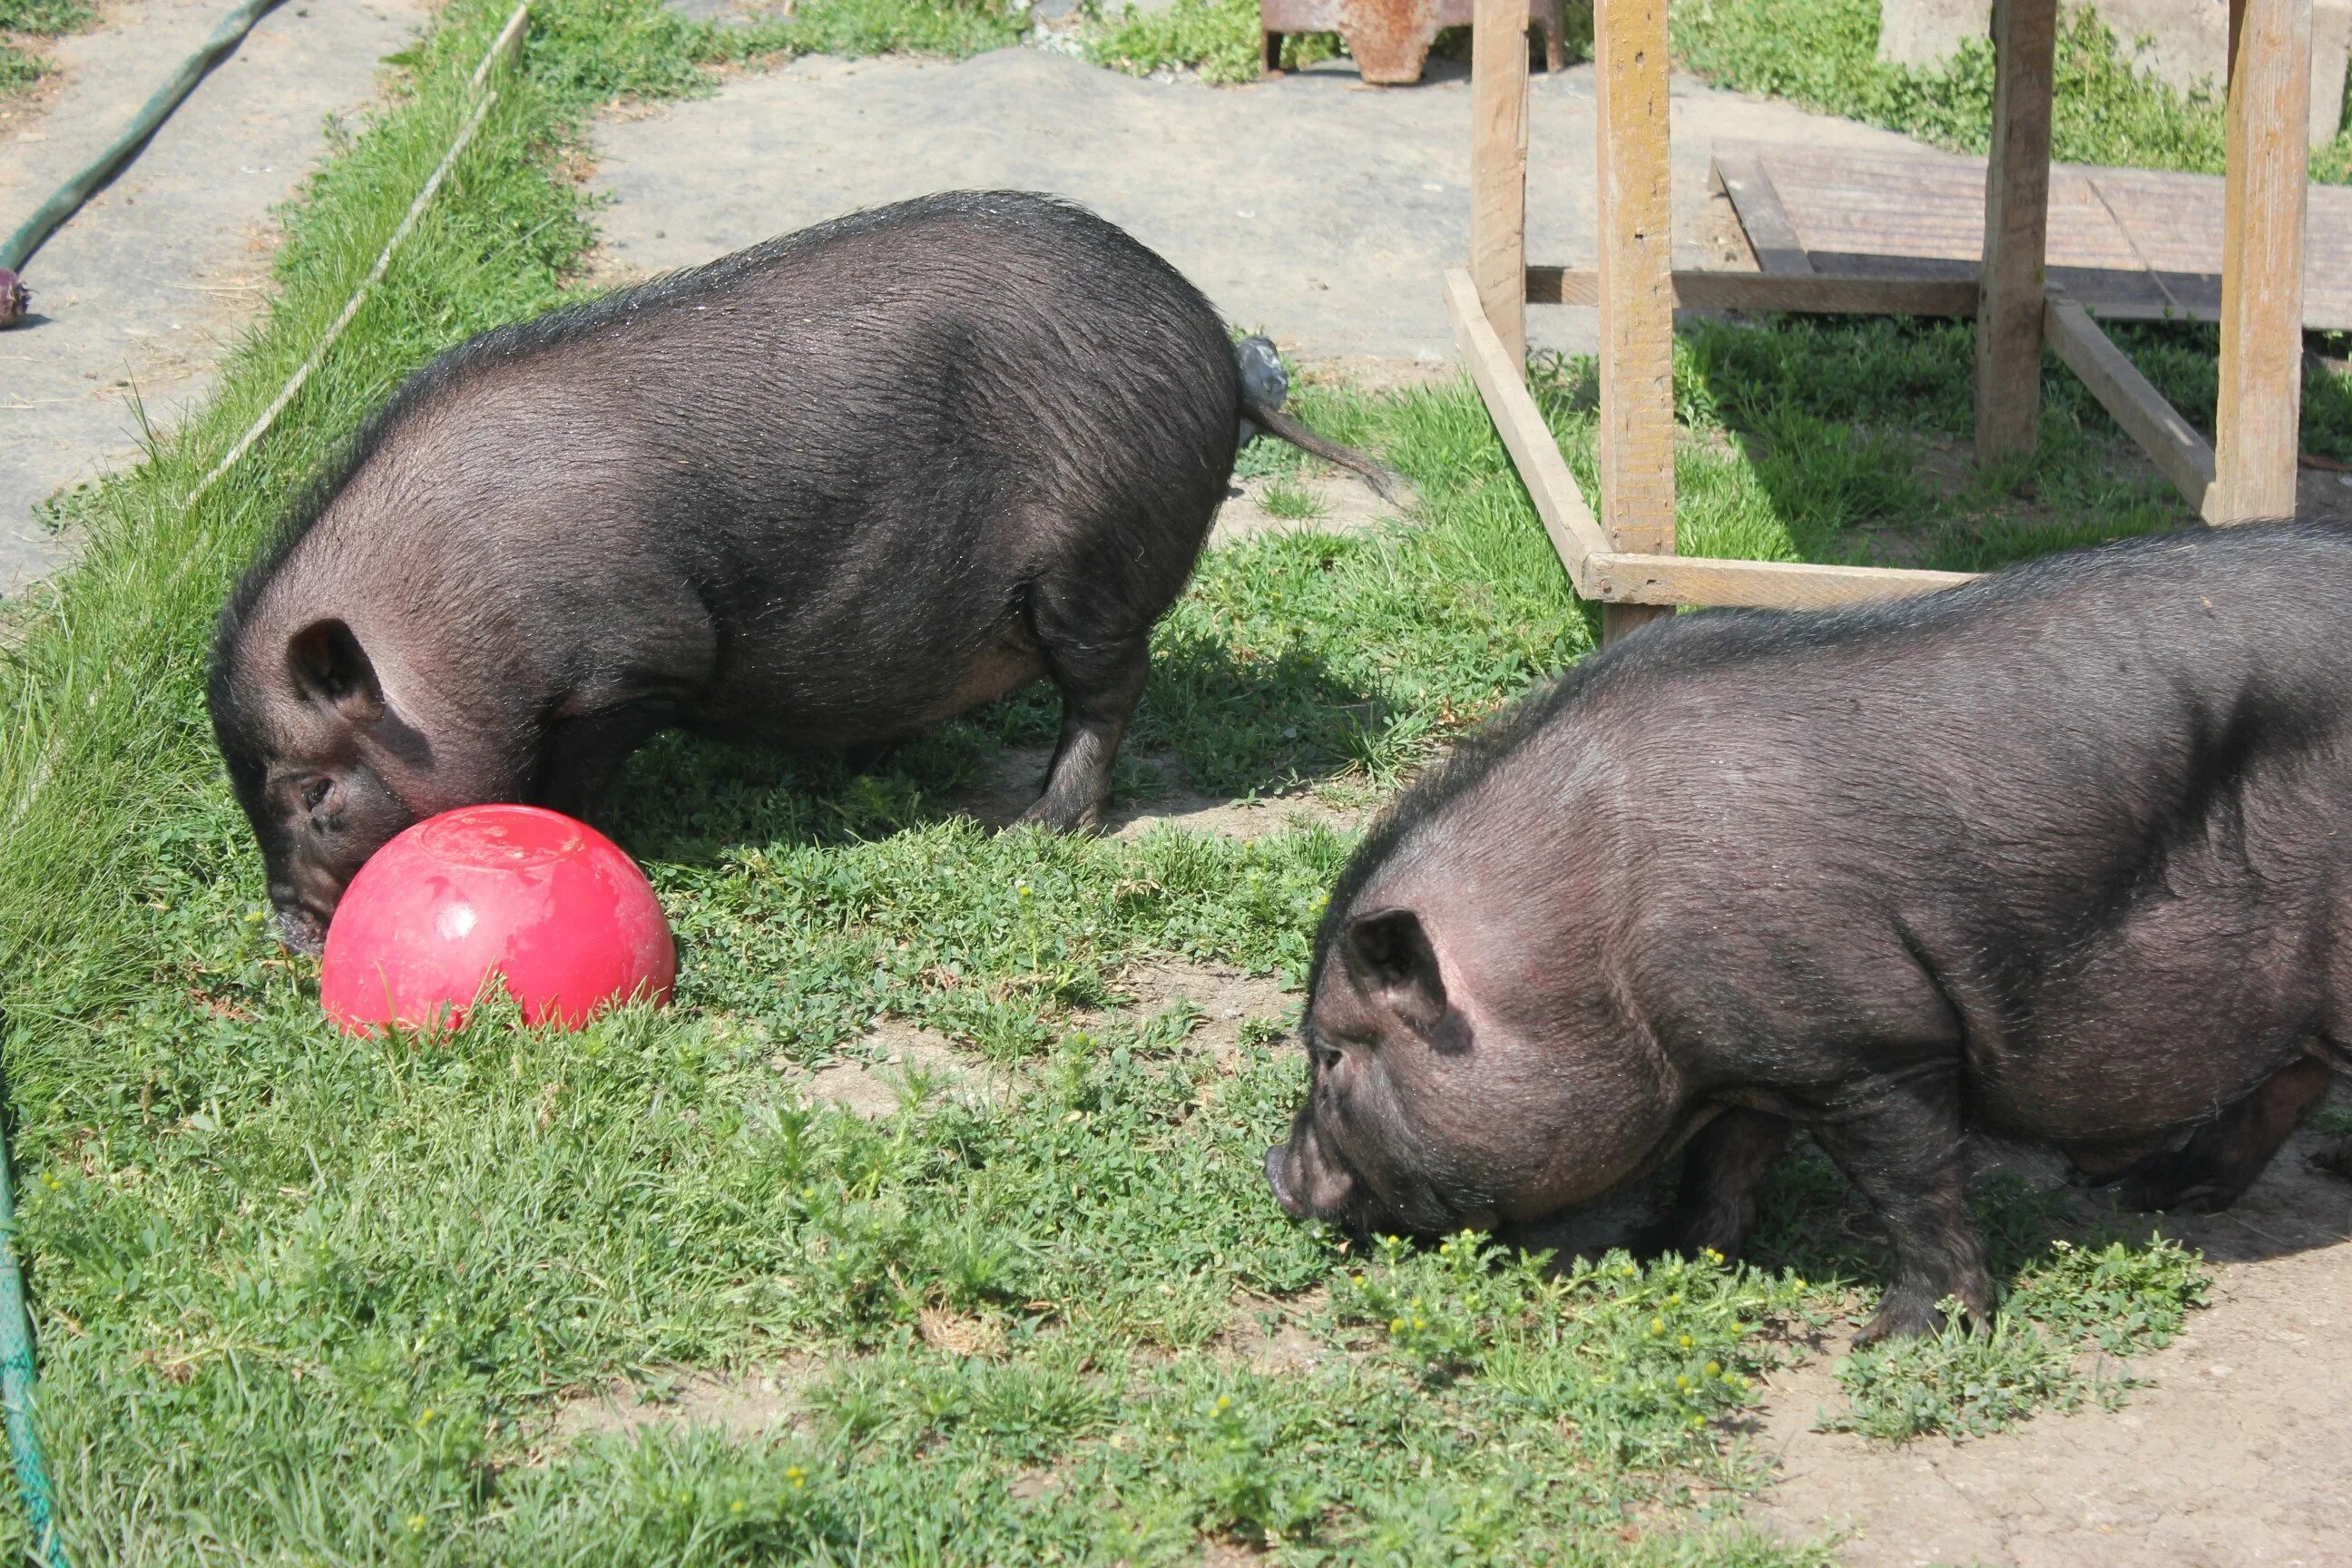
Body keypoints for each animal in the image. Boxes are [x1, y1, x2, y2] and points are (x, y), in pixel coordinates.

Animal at [207, 196, 1392, 959]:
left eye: (311, 792)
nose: (289, 936)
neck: (453, 624)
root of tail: (1223, 356)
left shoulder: (637, 659)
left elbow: (575, 768)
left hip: (1093, 566)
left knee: (1109, 690)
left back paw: (1032, 827)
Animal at [1269, 526, 2352, 1354]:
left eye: (1332, 1057)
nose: (1279, 1176)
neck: (1587, 941)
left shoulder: (1875, 1043)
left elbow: (1912, 1186)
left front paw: (1900, 1339)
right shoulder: (1759, 1048)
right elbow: (1729, 1160)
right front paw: (1665, 1250)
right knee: (2292, 1078)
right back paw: (2158, 1193)